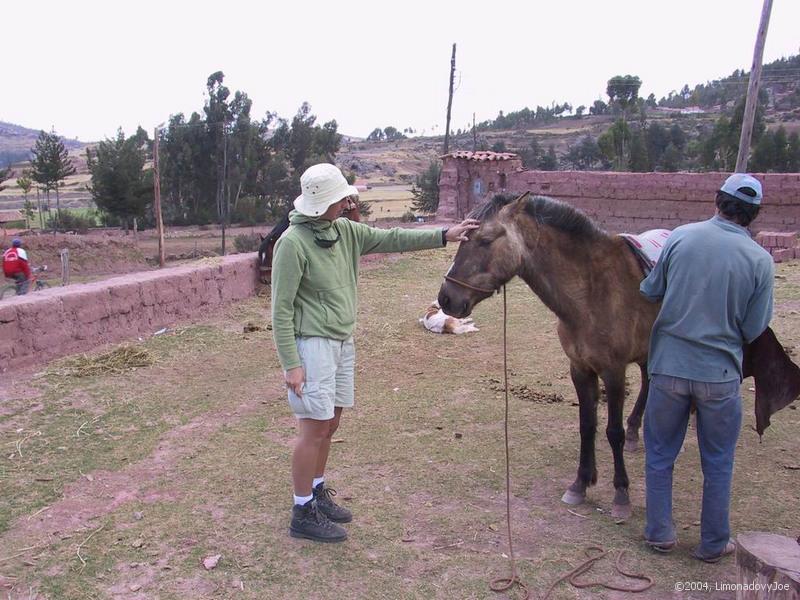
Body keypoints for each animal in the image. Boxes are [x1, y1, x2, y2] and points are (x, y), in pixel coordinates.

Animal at [440, 193, 660, 520]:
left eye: (485, 240)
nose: (446, 298)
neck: (593, 292)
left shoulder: (613, 371)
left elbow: (612, 431)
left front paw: (621, 493)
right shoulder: (579, 369)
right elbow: (587, 426)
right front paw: (581, 483)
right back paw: (636, 430)